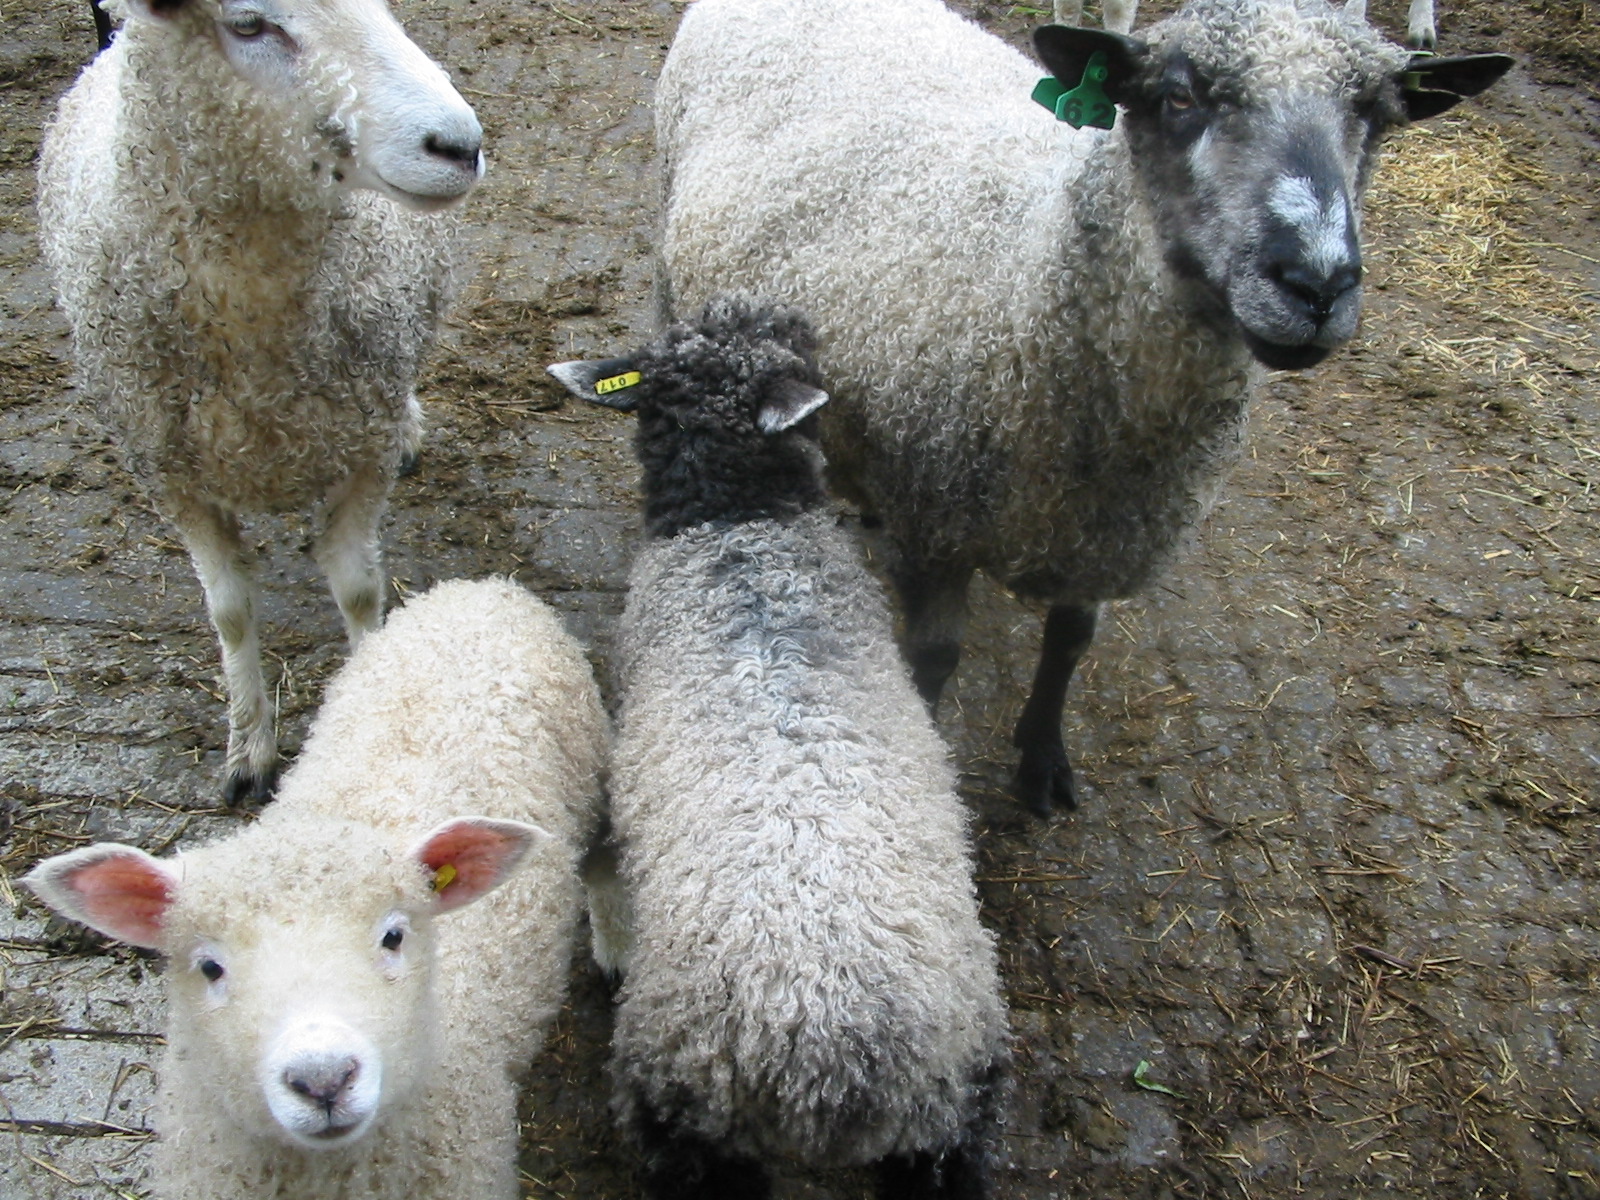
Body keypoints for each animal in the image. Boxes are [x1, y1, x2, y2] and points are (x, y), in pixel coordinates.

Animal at [37, 0, 485, 803]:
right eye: (248, 24)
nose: (459, 146)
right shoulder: (169, 472)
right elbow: (230, 611)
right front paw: (249, 745)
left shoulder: (361, 448)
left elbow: (358, 591)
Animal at [653, 0, 1510, 816]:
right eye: (1178, 96)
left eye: (1375, 111)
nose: (1319, 283)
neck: (1035, 280)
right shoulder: (937, 525)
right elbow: (934, 658)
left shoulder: (1101, 528)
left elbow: (1071, 639)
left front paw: (1042, 758)